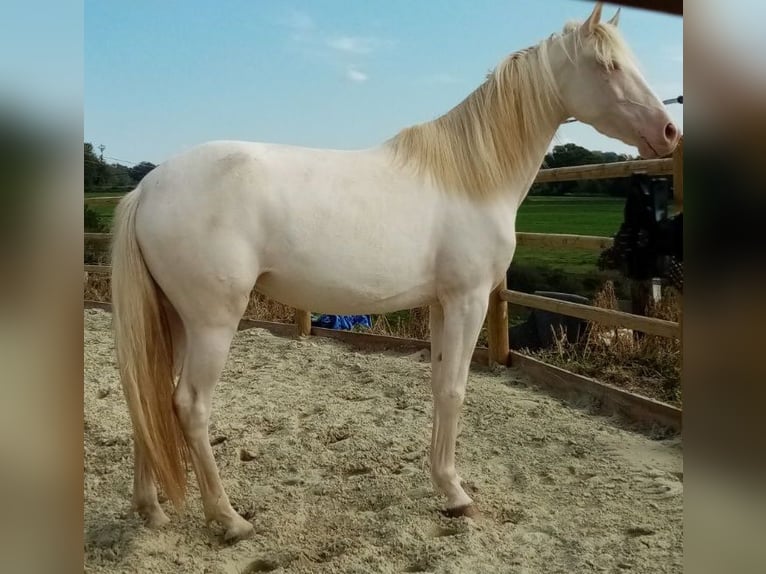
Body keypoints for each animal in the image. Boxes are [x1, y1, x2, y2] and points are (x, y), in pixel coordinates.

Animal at [111, 3, 680, 544]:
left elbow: (438, 385)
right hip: (212, 322)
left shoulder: (441, 303)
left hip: (173, 320)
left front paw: (443, 483)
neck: (470, 178)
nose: (668, 131)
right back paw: (228, 519)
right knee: (189, 405)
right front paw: (457, 496)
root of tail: (148, 188)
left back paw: (151, 510)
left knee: (147, 397)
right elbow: (454, 390)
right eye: (606, 65)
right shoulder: (469, 300)